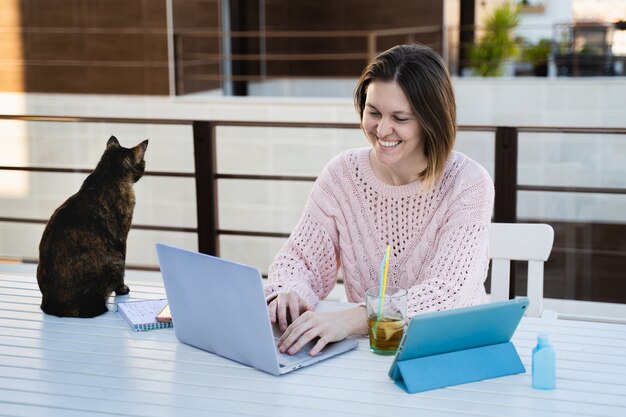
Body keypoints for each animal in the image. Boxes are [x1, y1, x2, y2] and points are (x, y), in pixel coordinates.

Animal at [36, 135, 147, 316]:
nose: (144, 167)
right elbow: (123, 272)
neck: (108, 174)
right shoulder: (122, 237)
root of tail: (53, 304)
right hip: (114, 261)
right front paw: (122, 289)